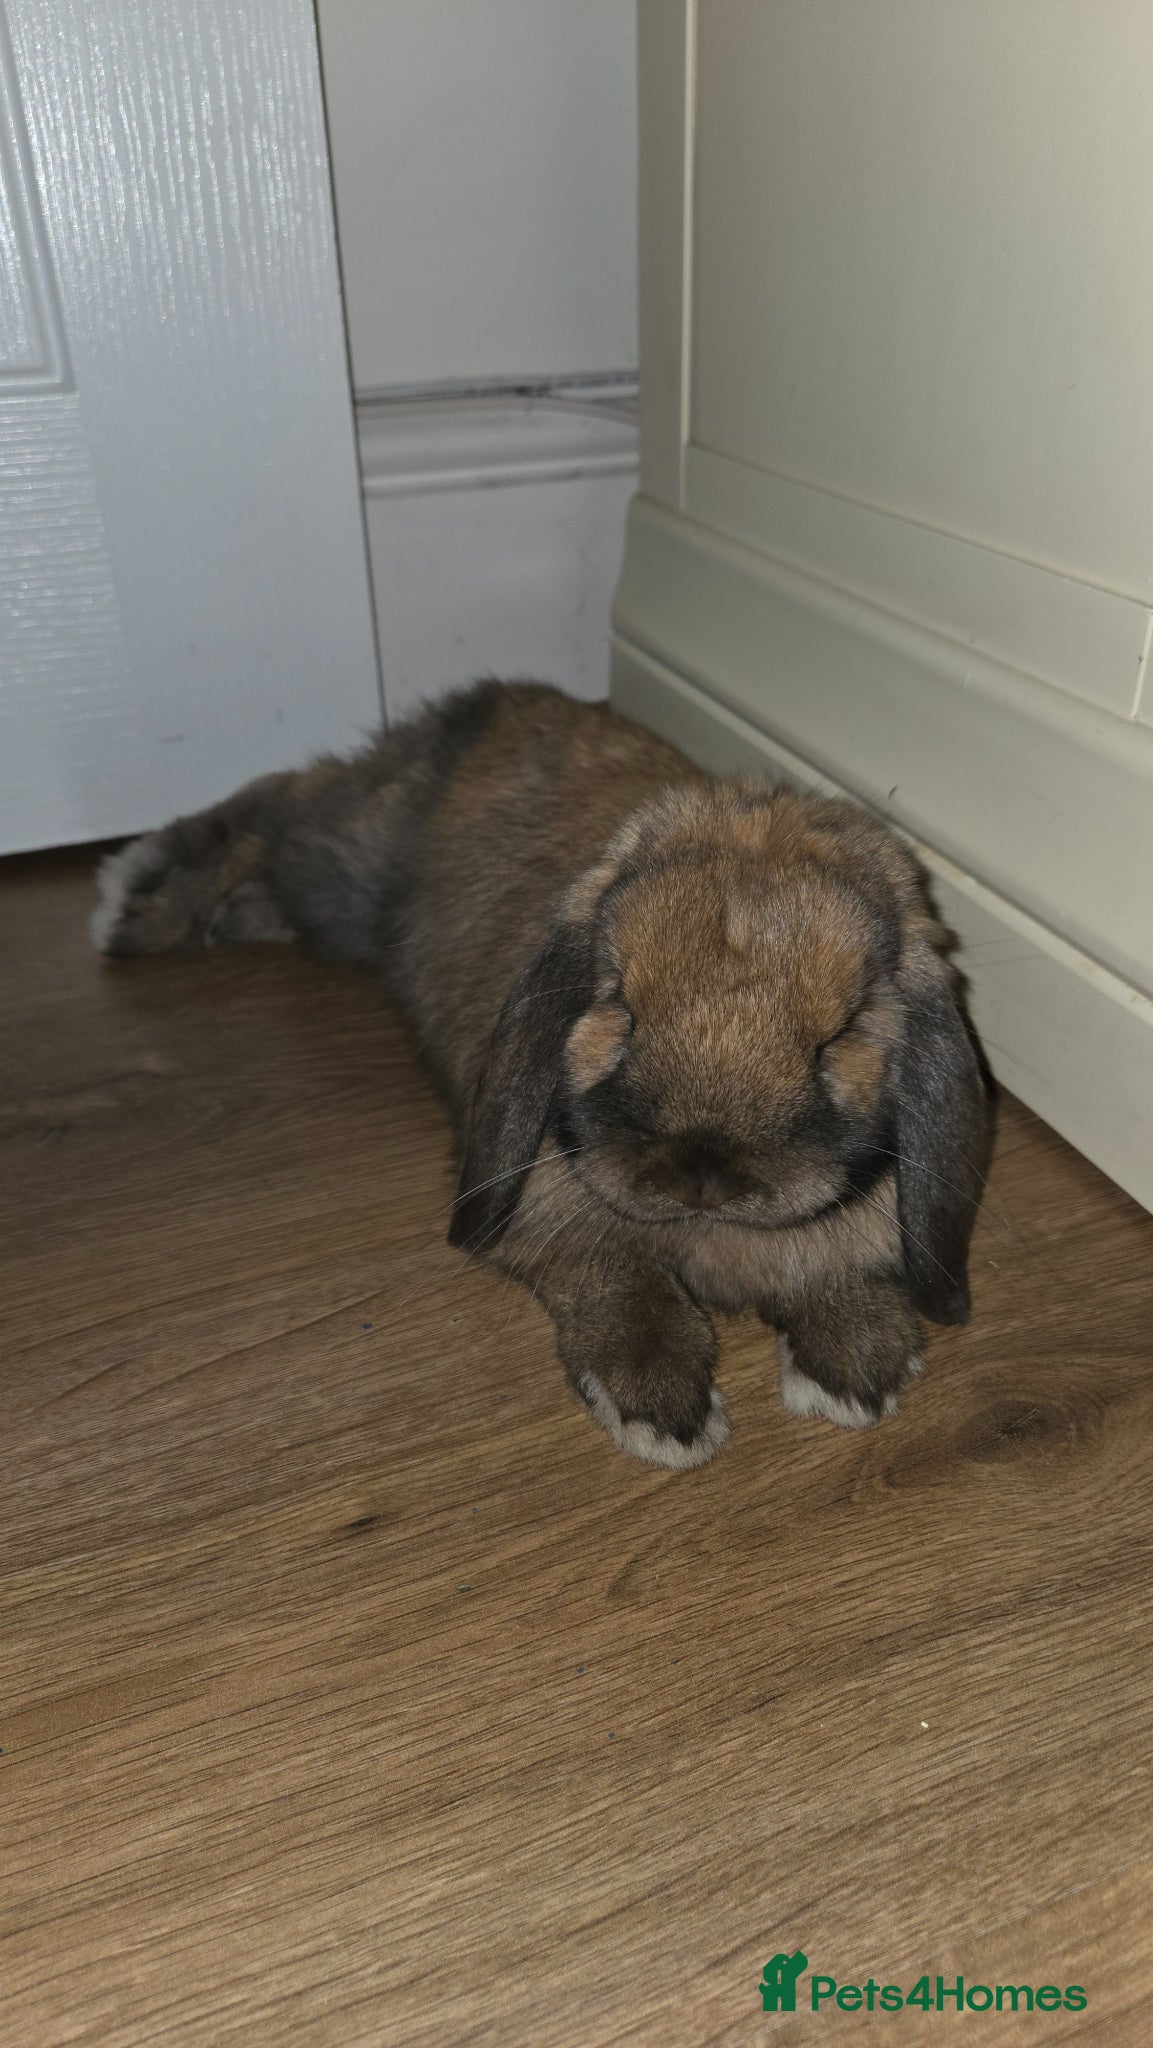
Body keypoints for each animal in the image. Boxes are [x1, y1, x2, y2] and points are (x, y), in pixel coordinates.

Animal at [92, 679, 988, 1469]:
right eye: (618, 1003)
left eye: (838, 1035)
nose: (701, 1172)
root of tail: (502, 694)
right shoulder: (550, 1211)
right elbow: (619, 1281)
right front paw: (660, 1409)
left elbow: (834, 1267)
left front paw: (856, 1368)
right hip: (342, 865)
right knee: (274, 806)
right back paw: (133, 903)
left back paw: (215, 915)